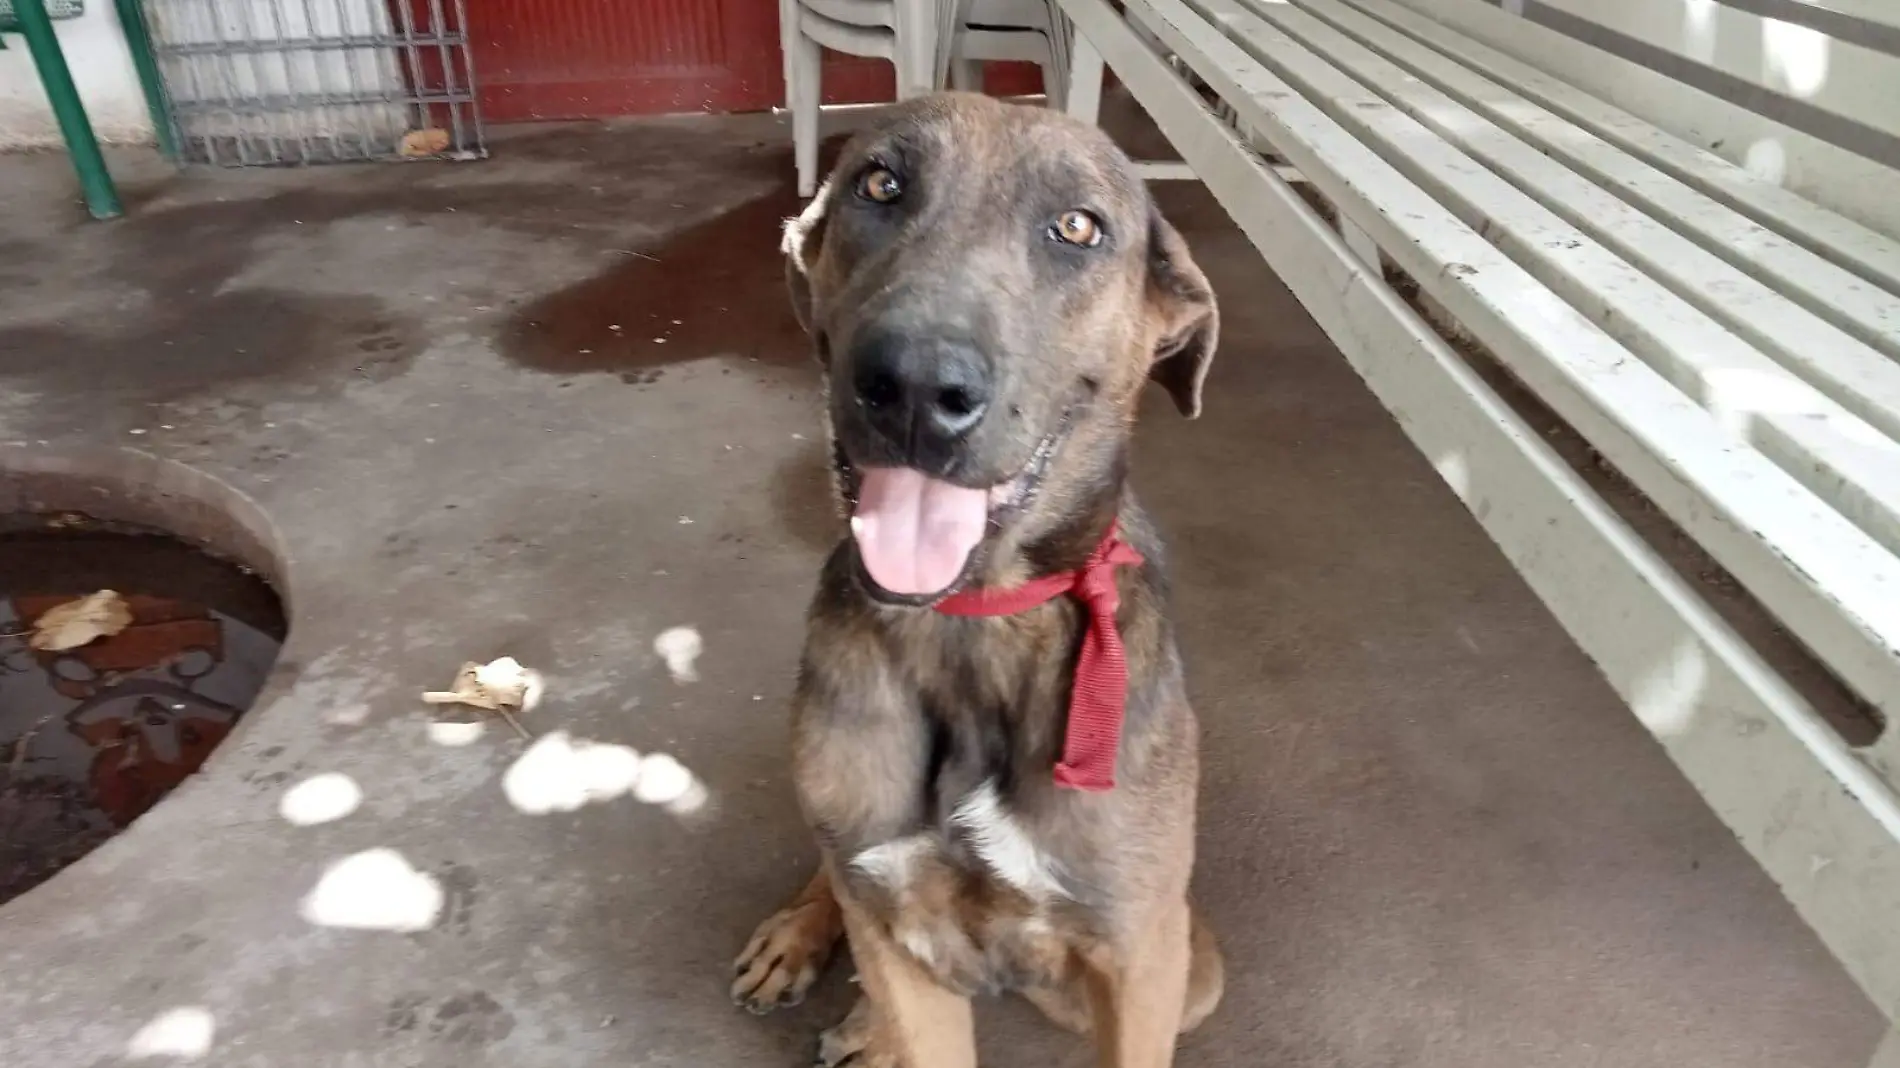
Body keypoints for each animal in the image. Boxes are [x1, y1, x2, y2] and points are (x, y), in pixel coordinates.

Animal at [733, 93, 1223, 1064]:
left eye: (1077, 227)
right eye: (879, 184)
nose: (916, 389)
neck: (974, 622)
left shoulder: (1146, 955)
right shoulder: (892, 906)